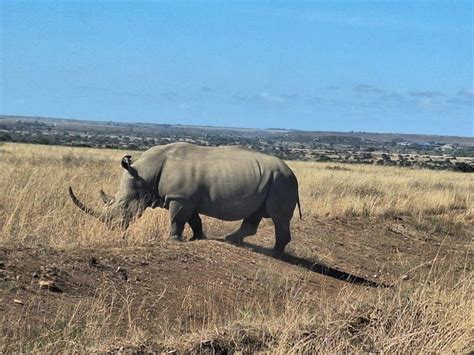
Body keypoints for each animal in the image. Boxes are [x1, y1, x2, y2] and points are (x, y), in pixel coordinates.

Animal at [68, 143, 302, 258]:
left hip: (282, 182)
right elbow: (193, 220)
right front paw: (197, 238)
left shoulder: (180, 197)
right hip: (271, 180)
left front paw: (173, 240)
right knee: (254, 215)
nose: (113, 228)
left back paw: (275, 254)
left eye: (124, 205)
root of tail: (292, 172)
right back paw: (231, 240)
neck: (145, 174)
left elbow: (177, 219)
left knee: (279, 219)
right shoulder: (188, 198)